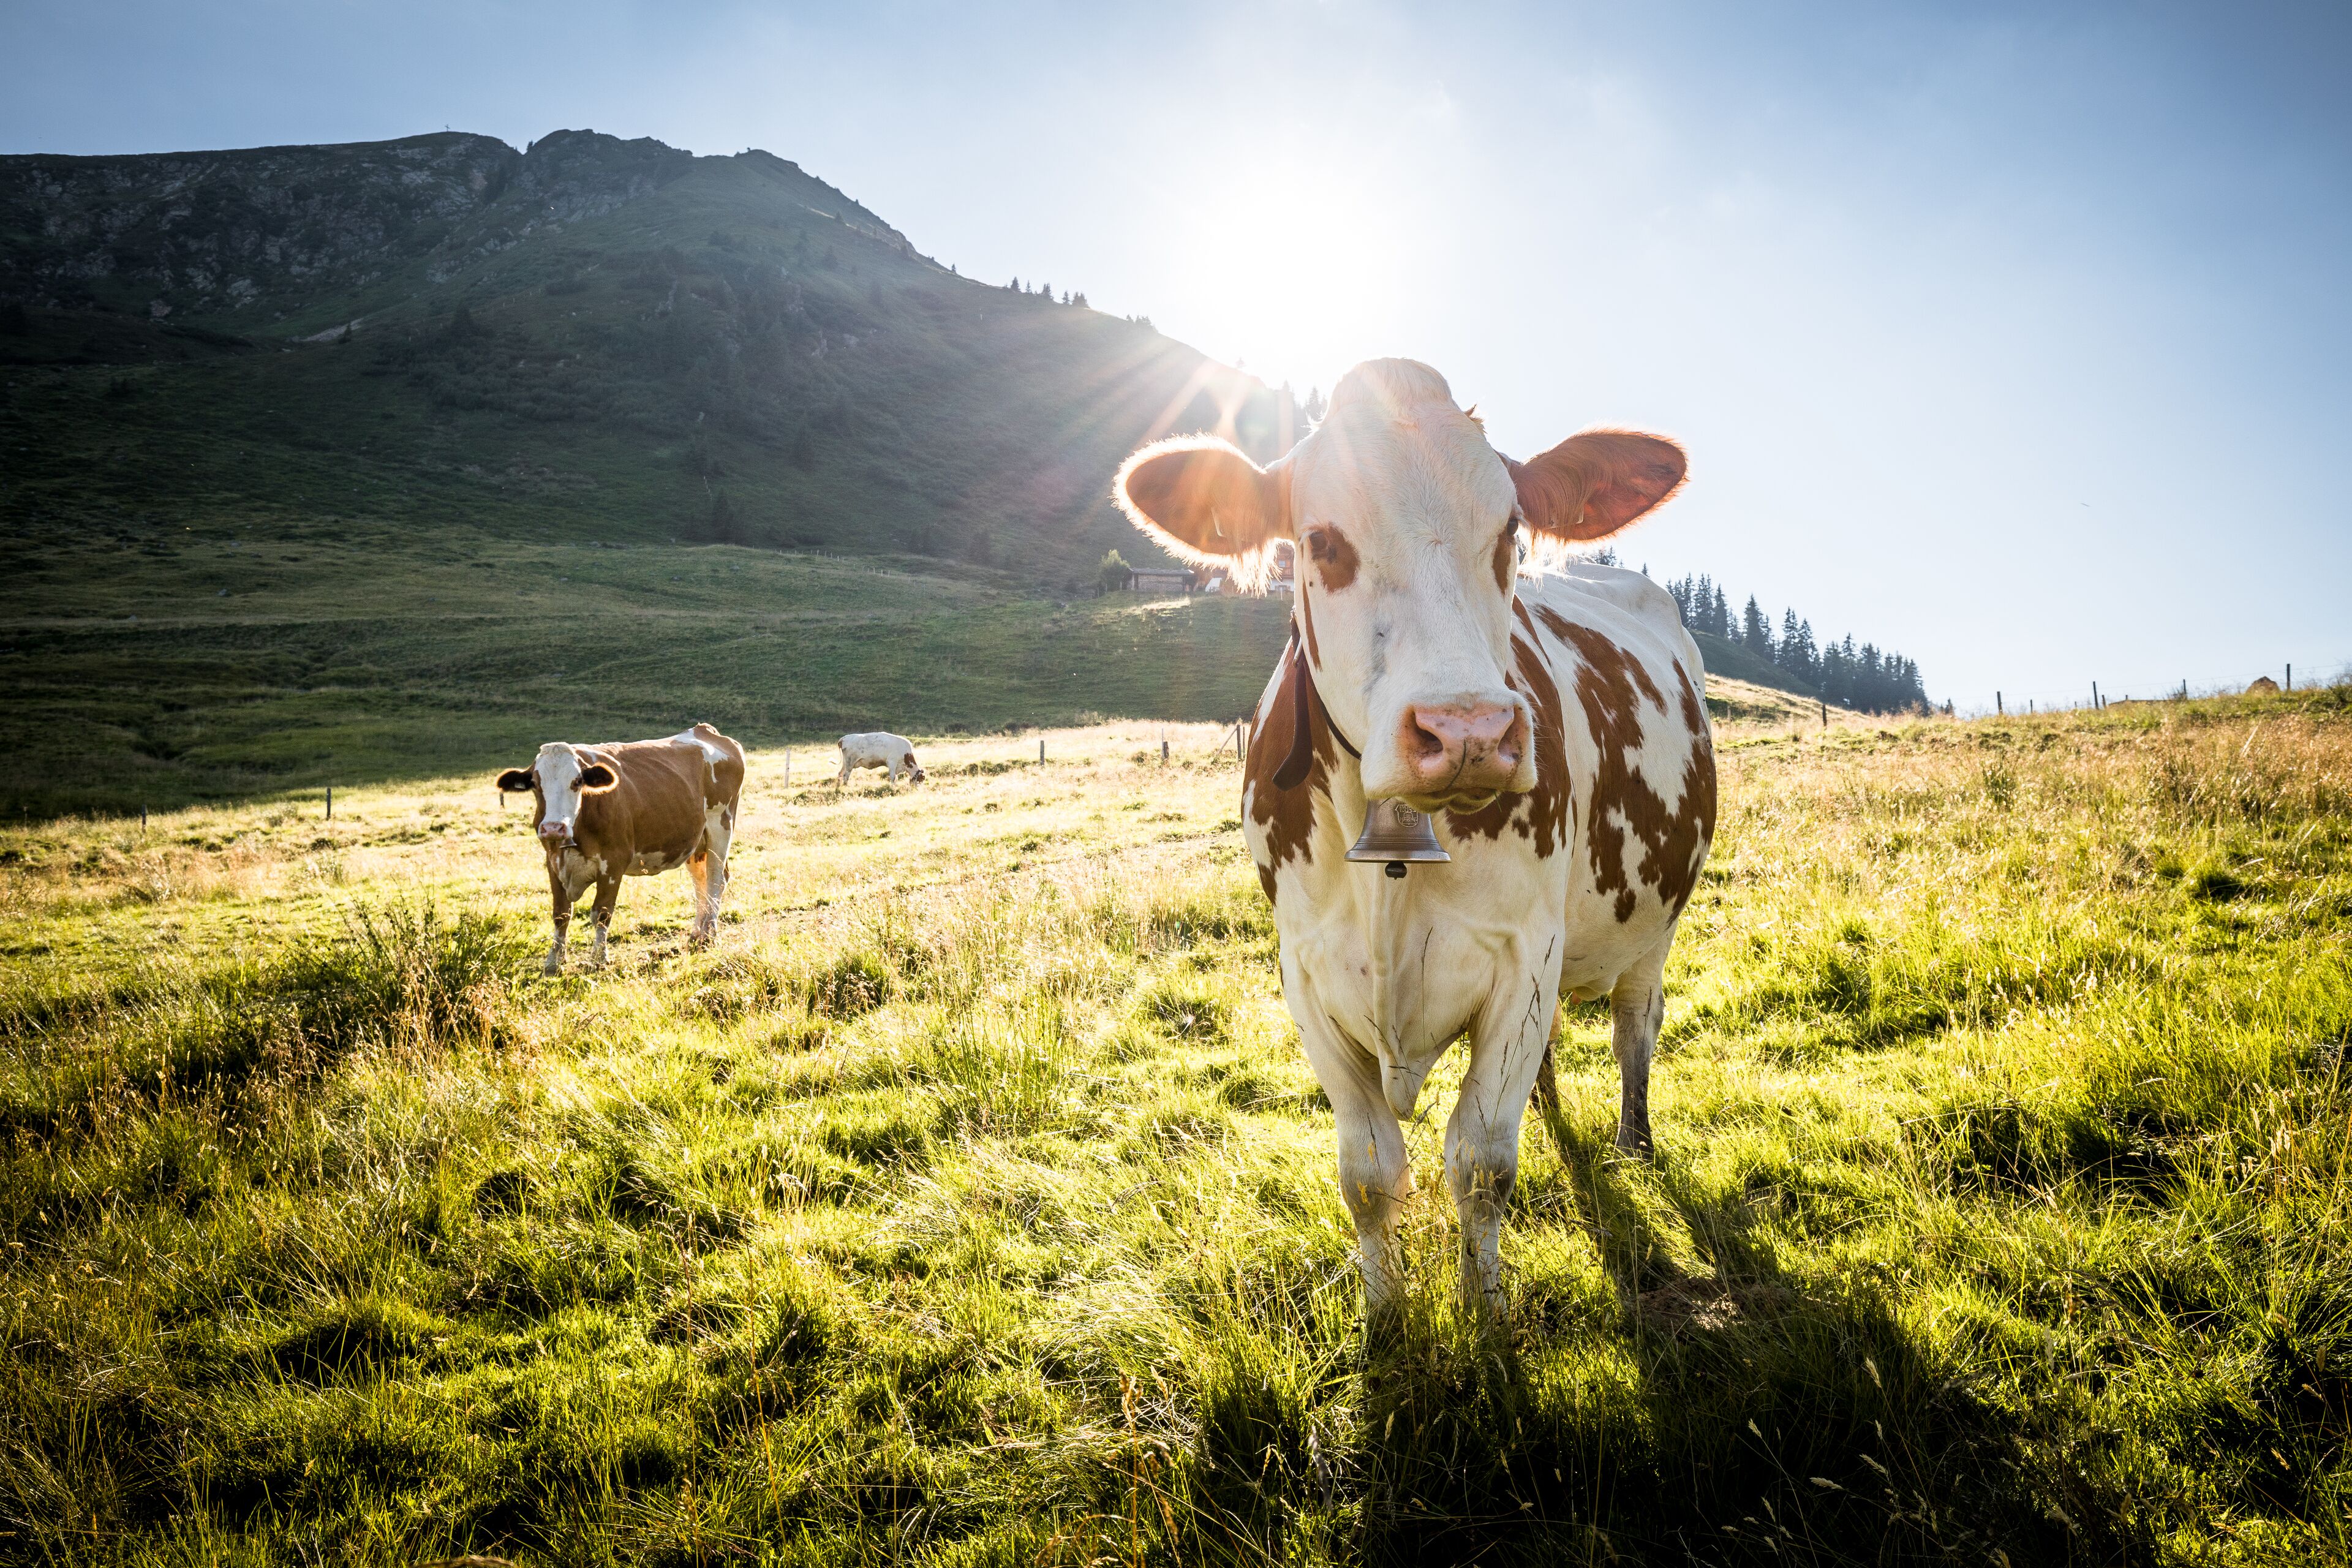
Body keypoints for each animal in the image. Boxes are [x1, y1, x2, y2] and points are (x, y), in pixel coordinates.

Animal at [494, 723, 746, 974]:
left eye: (577, 782)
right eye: (536, 785)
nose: (554, 828)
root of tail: (705, 730)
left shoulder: (614, 863)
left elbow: (602, 913)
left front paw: (599, 959)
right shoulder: (553, 863)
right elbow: (561, 914)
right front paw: (554, 961)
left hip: (720, 826)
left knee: (716, 880)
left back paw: (710, 934)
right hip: (695, 842)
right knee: (701, 882)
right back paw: (697, 933)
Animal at [836, 731, 925, 786]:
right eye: (919, 780)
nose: (917, 790)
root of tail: (843, 739)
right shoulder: (892, 762)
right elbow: (893, 777)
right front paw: (893, 787)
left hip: (845, 763)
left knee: (840, 773)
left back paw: (838, 787)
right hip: (850, 763)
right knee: (846, 776)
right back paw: (846, 787)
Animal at [1113, 359, 1714, 1319]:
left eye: (1510, 533)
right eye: (1321, 542)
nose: (1467, 730)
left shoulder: (1523, 959)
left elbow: (1482, 1162)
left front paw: (1486, 1313)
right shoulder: (1305, 970)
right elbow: (1366, 1174)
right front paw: (1386, 1316)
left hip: (1651, 927)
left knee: (1635, 1027)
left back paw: (1633, 1143)